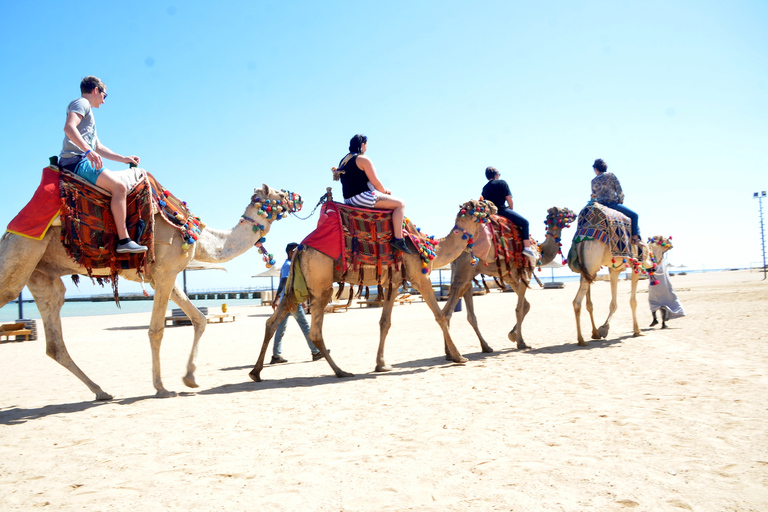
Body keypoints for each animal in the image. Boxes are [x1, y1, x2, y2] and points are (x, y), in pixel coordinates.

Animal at [0, 180, 298, 400]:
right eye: (281, 193)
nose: (299, 196)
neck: (199, 238)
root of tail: (8, 234)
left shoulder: (164, 276)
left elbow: (199, 319)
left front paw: (190, 378)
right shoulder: (165, 271)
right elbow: (156, 330)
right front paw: (161, 387)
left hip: (41, 275)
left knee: (54, 342)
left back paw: (101, 391)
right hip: (21, 254)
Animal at [249, 198, 496, 382]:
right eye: (480, 205)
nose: (494, 206)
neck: (430, 247)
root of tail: (300, 249)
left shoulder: (393, 283)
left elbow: (384, 322)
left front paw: (381, 365)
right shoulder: (420, 276)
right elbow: (440, 317)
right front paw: (459, 357)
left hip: (296, 286)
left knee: (273, 320)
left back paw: (256, 372)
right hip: (321, 285)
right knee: (315, 331)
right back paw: (341, 371)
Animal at [440, 205, 572, 352]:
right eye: (563, 211)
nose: (574, 214)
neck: (540, 251)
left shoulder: (510, 277)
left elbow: (526, 305)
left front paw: (512, 335)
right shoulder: (526, 273)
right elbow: (519, 308)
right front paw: (521, 342)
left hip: (465, 274)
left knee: (467, 314)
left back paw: (475, 348)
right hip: (465, 271)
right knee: (447, 311)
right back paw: (455, 353)